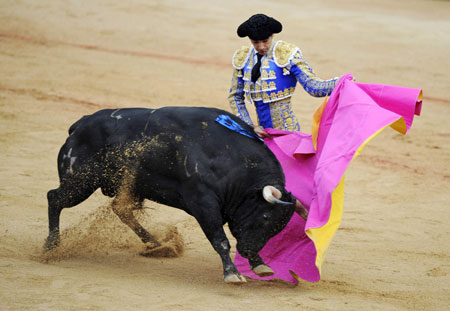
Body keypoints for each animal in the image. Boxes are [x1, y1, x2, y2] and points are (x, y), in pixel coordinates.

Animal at [44, 106, 306, 282]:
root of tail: (81, 123)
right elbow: (220, 240)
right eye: (265, 217)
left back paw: (156, 244)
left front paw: (260, 265)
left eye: (279, 227)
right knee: (54, 198)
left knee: (120, 208)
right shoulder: (203, 203)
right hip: (80, 182)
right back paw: (51, 247)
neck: (228, 157)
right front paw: (232, 273)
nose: (249, 251)